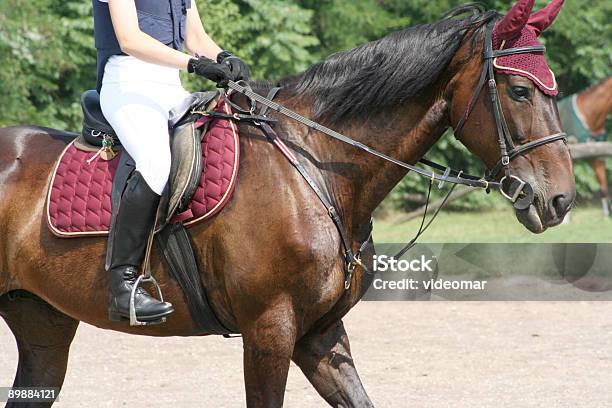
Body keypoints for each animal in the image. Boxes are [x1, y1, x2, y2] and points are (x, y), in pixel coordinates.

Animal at [0, 1, 572, 406]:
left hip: (43, 327)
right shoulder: (268, 332)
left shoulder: (320, 337)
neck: (314, 165)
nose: (559, 199)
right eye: (520, 91)